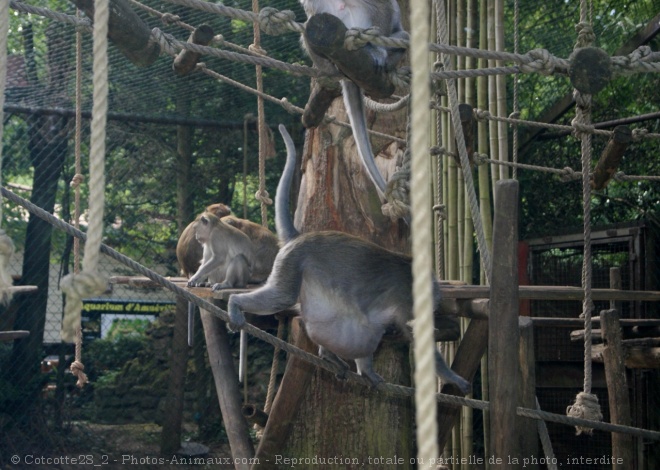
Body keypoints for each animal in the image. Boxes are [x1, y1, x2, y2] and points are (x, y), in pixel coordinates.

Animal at [227, 125, 470, 392]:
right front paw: (455, 379)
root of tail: (301, 236)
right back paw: (235, 303)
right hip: (292, 261)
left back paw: (333, 357)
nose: (434, 306)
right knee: (283, 296)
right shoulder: (409, 298)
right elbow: (416, 335)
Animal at [300, 0, 408, 200]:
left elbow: (385, 8)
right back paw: (333, 69)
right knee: (307, 28)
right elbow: (310, 17)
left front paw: (377, 50)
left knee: (403, 36)